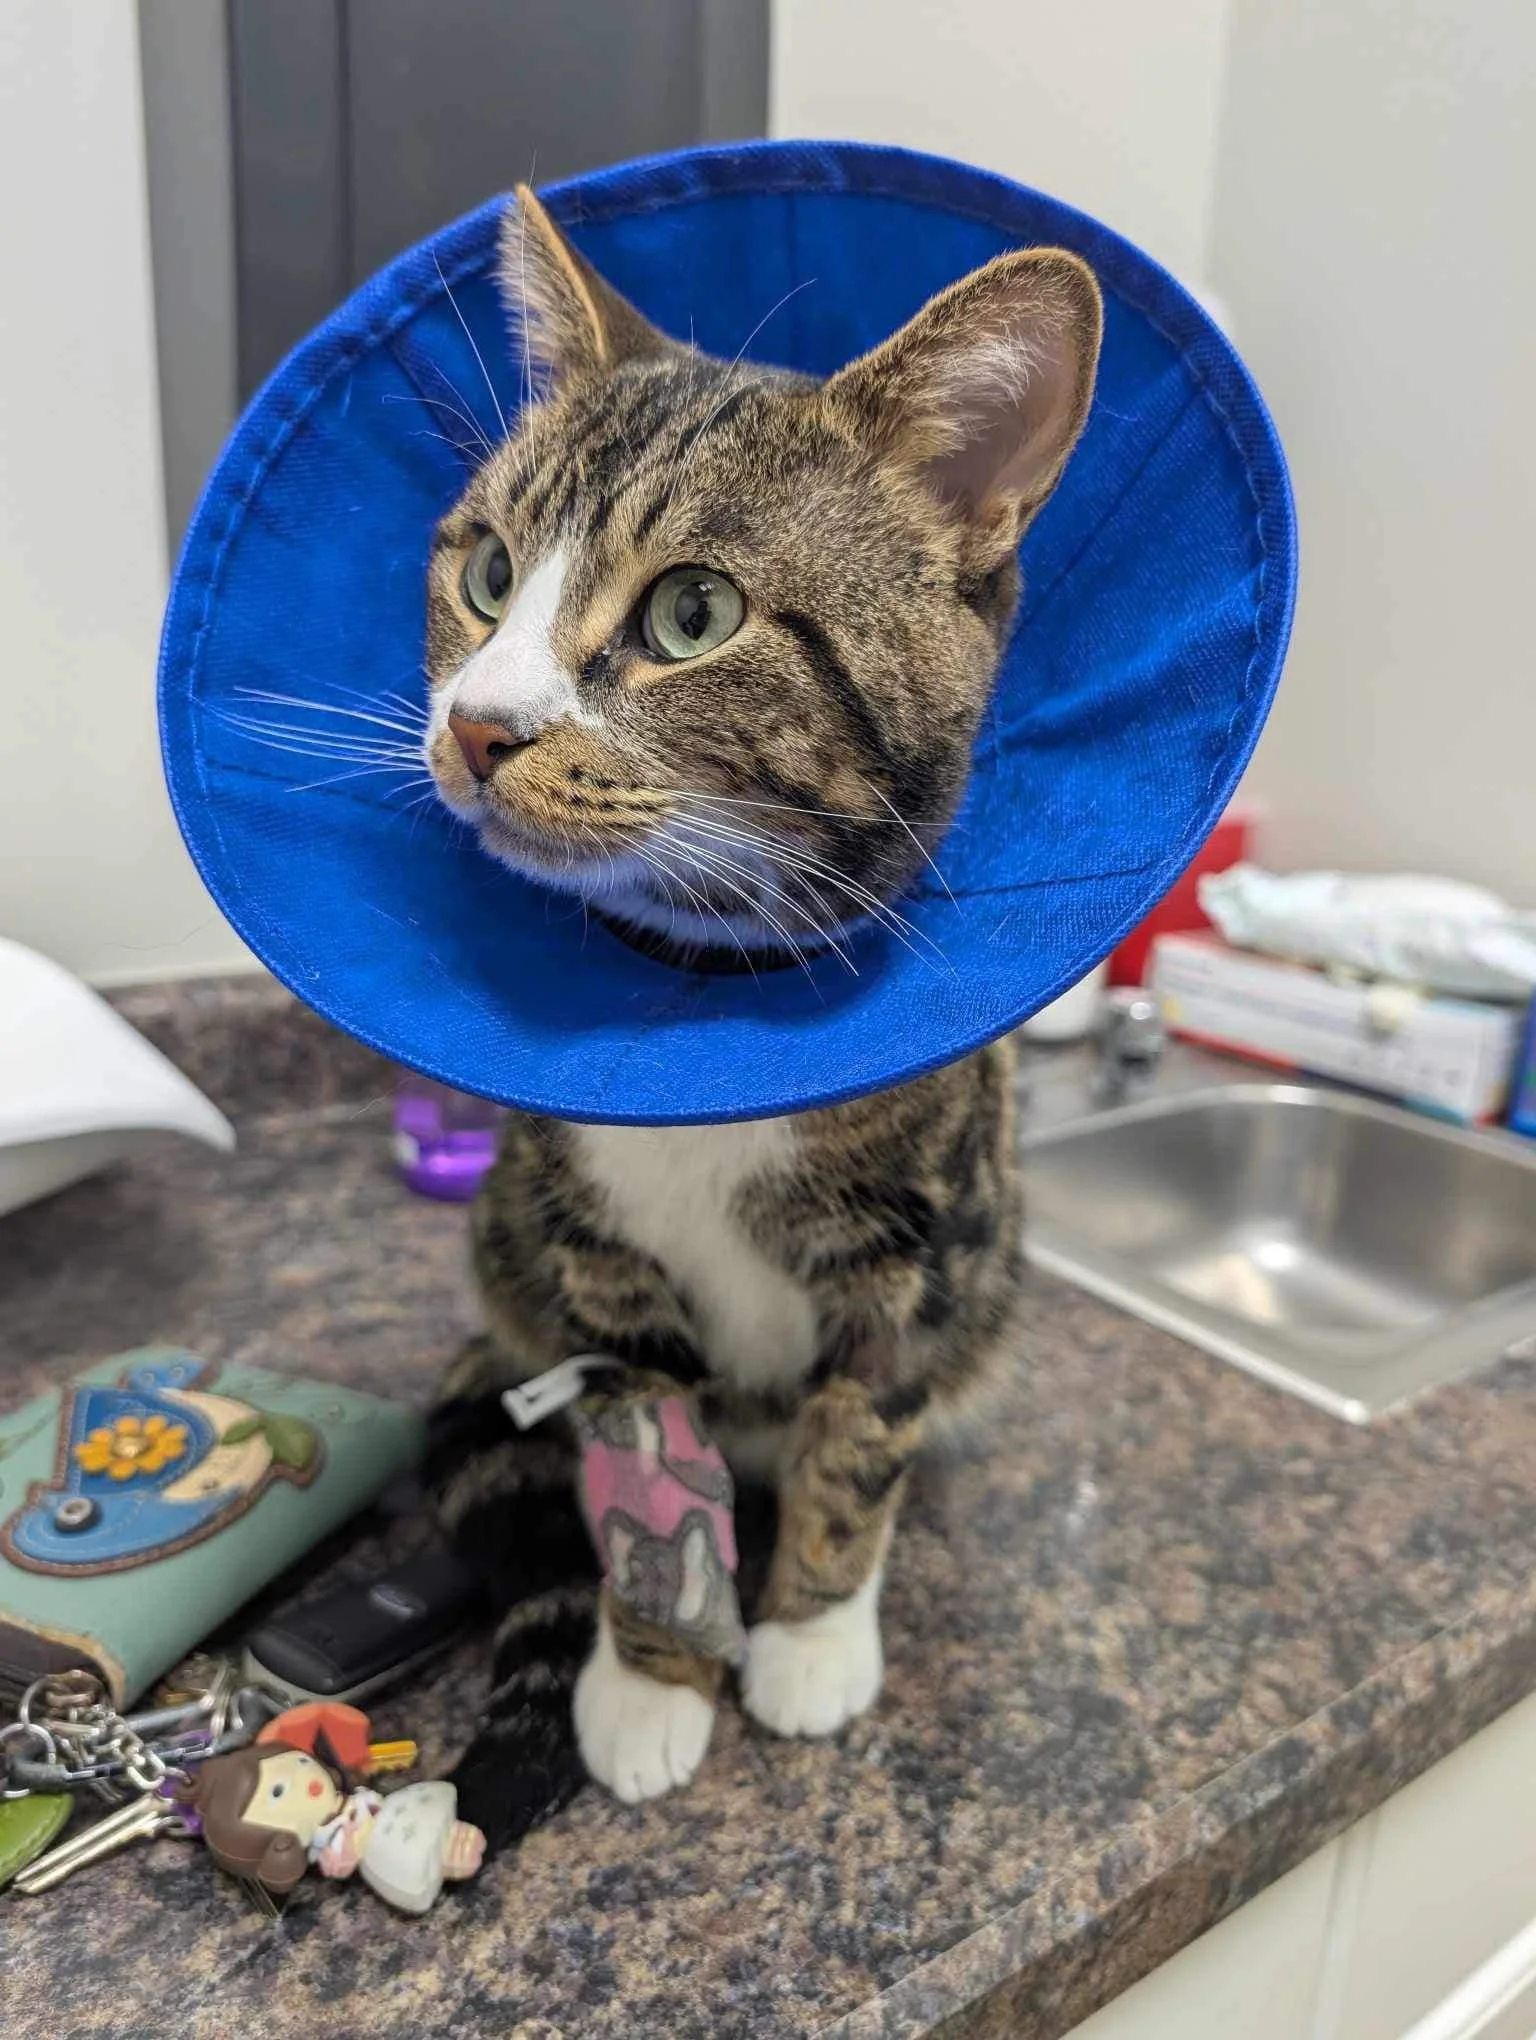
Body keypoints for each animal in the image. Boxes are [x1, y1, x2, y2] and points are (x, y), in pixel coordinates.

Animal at [422, 187, 1101, 1844]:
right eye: (487, 574)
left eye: (694, 613)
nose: (477, 725)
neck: (706, 997)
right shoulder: (590, 1258)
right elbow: (635, 1442)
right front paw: (651, 1676)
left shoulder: (928, 1251)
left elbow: (864, 1434)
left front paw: (808, 1639)